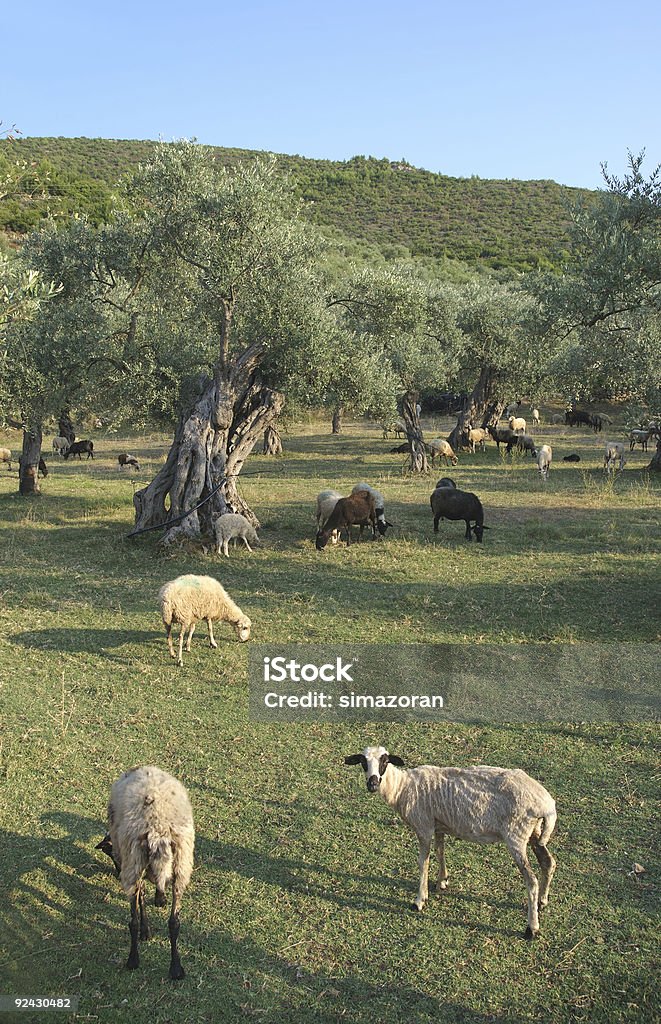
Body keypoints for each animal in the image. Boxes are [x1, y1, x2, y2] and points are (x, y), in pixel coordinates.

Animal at [95, 765, 194, 978]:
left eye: (110, 855)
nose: (117, 873)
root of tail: (158, 830)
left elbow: (140, 900)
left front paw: (145, 931)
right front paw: (160, 899)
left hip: (133, 864)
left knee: (132, 921)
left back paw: (133, 960)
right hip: (182, 866)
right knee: (174, 922)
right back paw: (176, 969)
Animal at [347, 745, 560, 937]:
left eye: (384, 761)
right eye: (363, 762)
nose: (372, 784)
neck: (402, 788)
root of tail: (547, 805)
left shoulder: (424, 826)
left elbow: (423, 862)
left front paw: (420, 900)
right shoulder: (439, 825)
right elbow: (440, 851)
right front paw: (442, 881)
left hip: (516, 835)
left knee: (531, 880)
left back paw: (531, 928)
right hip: (534, 832)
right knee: (548, 862)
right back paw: (542, 901)